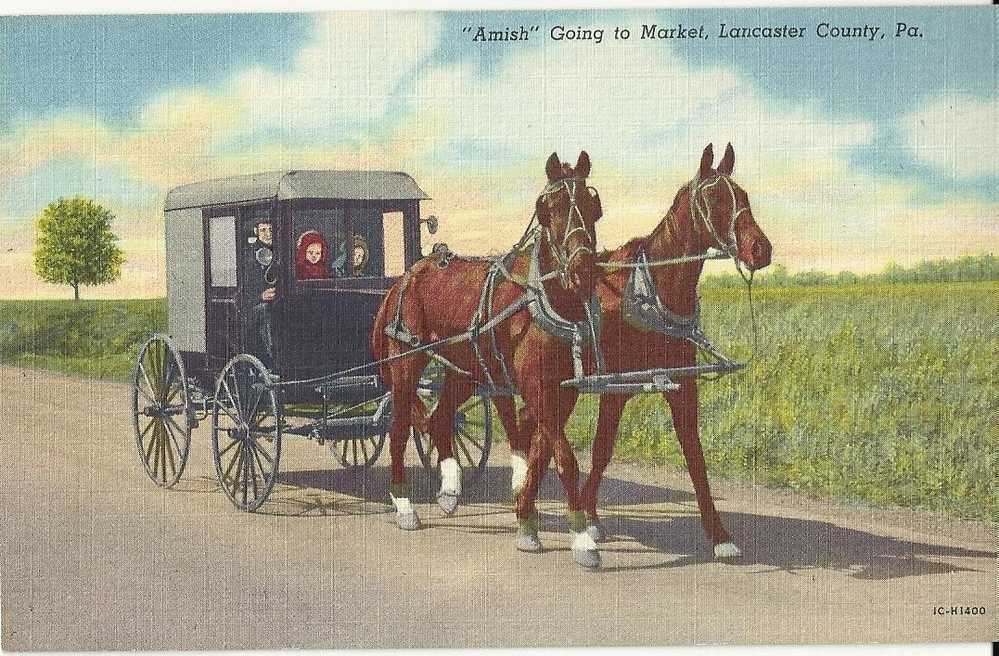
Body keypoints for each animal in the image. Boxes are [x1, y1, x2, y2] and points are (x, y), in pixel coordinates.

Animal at [370, 151, 596, 540]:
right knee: (399, 429)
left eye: (592, 206)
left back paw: (449, 489)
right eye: (550, 208)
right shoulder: (537, 387)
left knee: (441, 419)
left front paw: (526, 512)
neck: (540, 299)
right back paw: (404, 505)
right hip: (406, 365)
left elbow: (541, 452)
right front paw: (581, 537)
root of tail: (403, 280)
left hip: (463, 369)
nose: (582, 269)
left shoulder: (564, 391)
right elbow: (564, 458)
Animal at [500, 142, 772, 564]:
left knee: (538, 432)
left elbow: (695, 456)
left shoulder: (682, 386)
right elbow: (601, 450)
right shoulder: (615, 390)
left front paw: (719, 535)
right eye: (714, 199)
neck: (650, 292)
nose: (761, 249)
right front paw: (589, 519)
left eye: (742, 196)